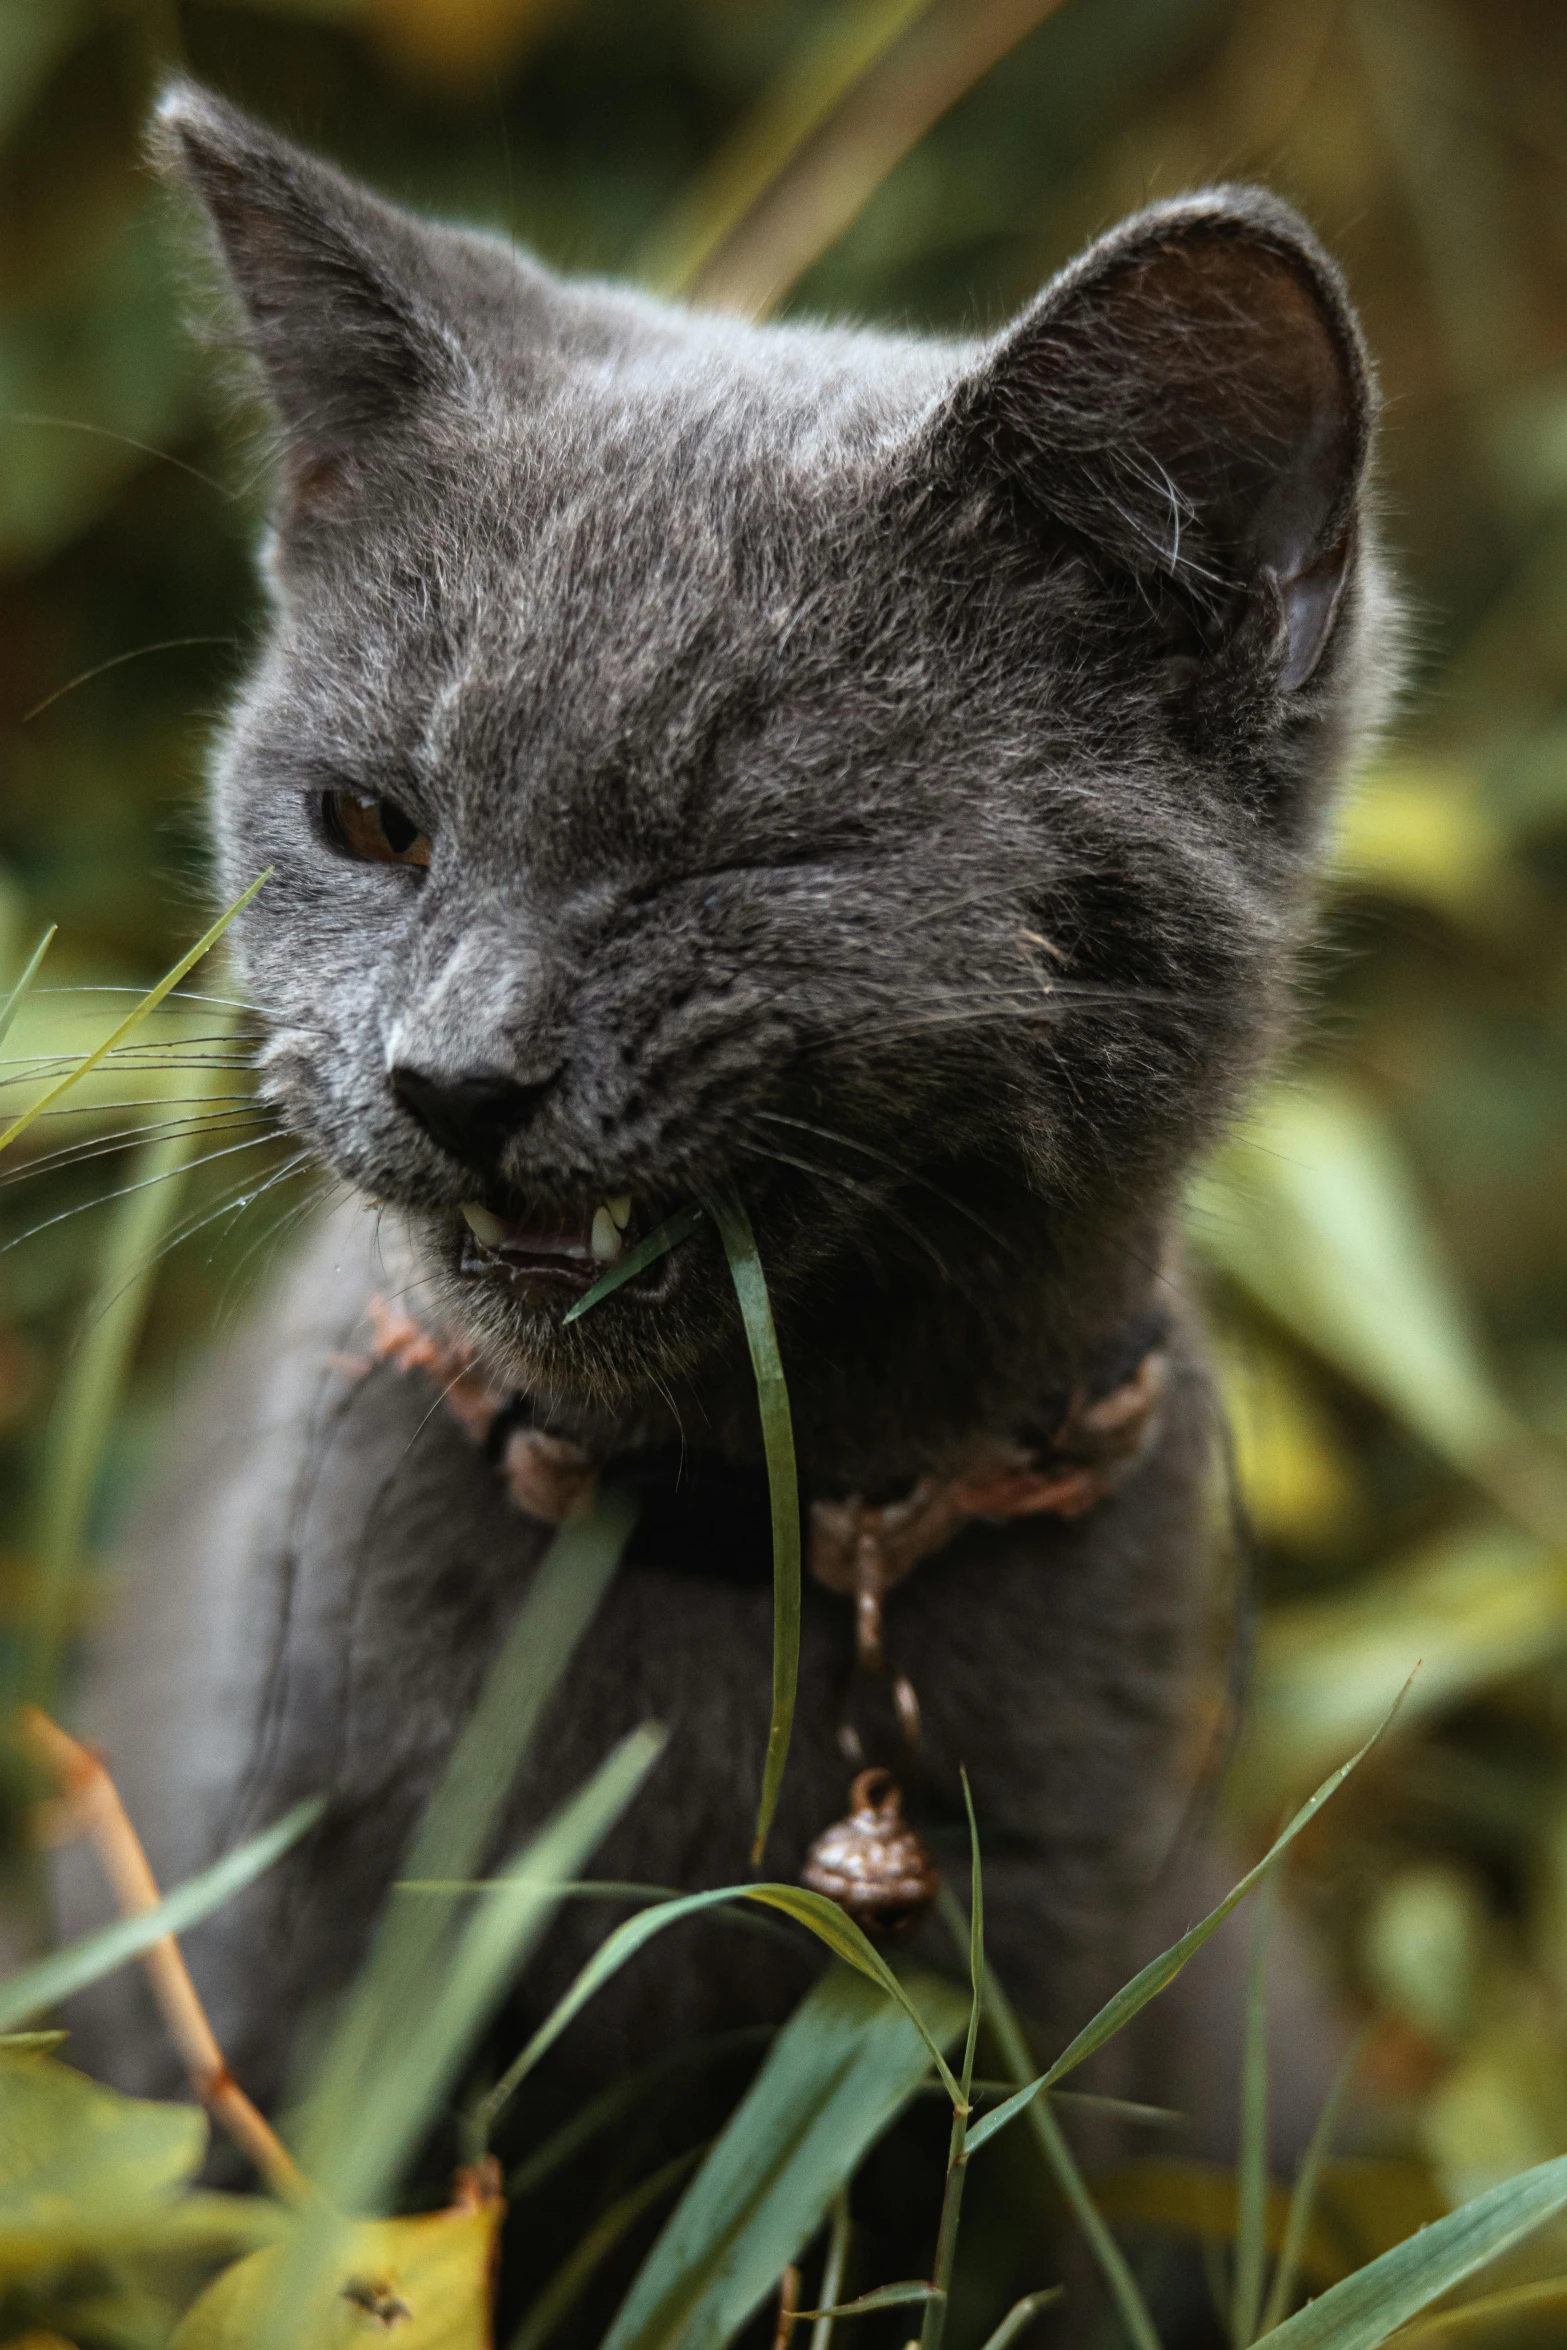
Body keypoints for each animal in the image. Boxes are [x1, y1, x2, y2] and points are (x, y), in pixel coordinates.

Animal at [61, 78, 1390, 2312]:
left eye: (739, 857)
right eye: (372, 823)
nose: (454, 1072)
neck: (746, 1542)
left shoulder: (1047, 2019)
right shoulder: (267, 1980)